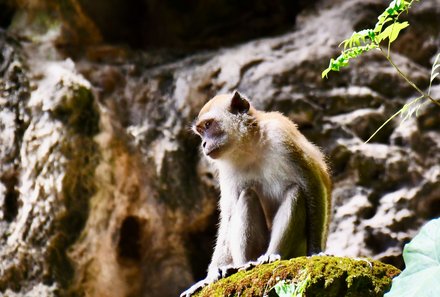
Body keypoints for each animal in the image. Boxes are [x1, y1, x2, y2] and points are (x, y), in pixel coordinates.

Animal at [180, 91, 332, 294]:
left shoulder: (282, 136)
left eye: (208, 125)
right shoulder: (226, 169)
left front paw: (315, 251)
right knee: (247, 195)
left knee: (295, 191)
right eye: (200, 131)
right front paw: (209, 277)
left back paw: (271, 255)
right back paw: (243, 265)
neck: (249, 145)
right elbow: (229, 215)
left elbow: (312, 185)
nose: (204, 144)